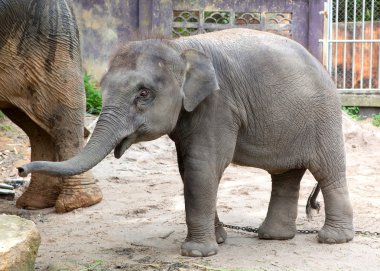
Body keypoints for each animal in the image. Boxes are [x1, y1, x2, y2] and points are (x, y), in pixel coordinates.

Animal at [0, 0, 101, 212]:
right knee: (36, 127)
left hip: (52, 30)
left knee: (61, 108)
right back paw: (35, 203)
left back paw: (76, 202)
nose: (20, 169)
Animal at [20, 28, 354, 258]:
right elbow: (187, 168)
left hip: (325, 116)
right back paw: (273, 237)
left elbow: (202, 167)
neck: (179, 47)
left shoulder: (218, 105)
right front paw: (217, 241)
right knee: (285, 176)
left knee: (328, 171)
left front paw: (196, 253)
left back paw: (333, 239)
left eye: (143, 93)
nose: (21, 169)